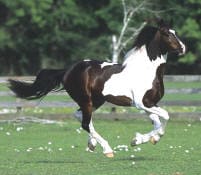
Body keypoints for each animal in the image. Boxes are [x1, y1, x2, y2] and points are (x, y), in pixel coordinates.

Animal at [8, 19, 186, 157]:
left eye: (174, 32)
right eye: (167, 34)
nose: (183, 48)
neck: (146, 71)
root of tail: (68, 70)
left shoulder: (148, 104)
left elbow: (157, 122)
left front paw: (138, 140)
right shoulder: (142, 103)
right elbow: (165, 116)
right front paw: (147, 139)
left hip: (96, 101)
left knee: (80, 116)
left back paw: (92, 144)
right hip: (86, 100)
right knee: (85, 122)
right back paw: (107, 149)